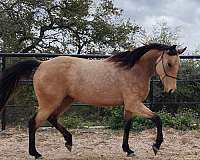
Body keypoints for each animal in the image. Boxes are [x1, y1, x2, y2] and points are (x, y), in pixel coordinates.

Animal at [0, 42, 186, 159]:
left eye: (178, 65)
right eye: (169, 64)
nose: (171, 90)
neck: (133, 70)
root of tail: (41, 64)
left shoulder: (129, 106)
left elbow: (127, 126)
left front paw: (128, 150)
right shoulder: (135, 104)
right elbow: (157, 119)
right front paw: (156, 146)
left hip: (65, 100)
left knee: (52, 118)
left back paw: (68, 141)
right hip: (49, 103)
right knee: (34, 122)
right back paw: (36, 153)